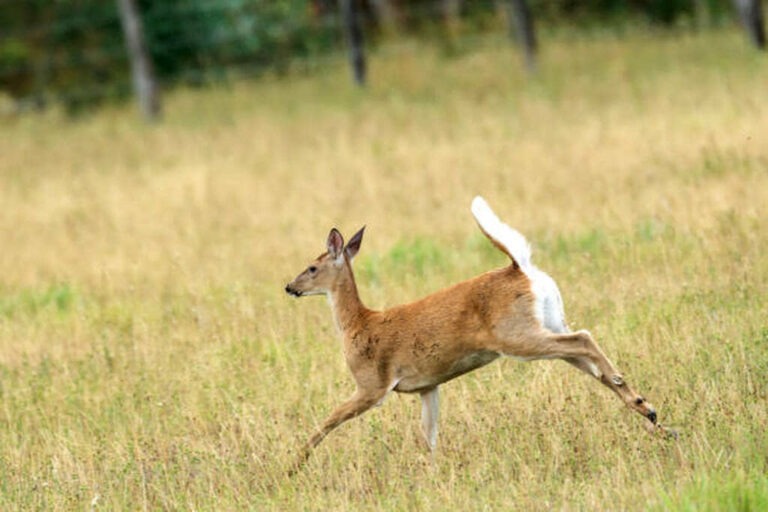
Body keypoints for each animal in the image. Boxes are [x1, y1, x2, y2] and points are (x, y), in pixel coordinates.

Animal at [285, 196, 669, 472]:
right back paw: (653, 417)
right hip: (547, 323)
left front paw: (294, 462)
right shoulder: (428, 386)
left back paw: (644, 408)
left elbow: (329, 419)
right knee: (585, 354)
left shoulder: (372, 385)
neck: (358, 323)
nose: (290, 286)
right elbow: (428, 438)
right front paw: (430, 474)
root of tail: (522, 268)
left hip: (516, 336)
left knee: (584, 339)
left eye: (312, 267)